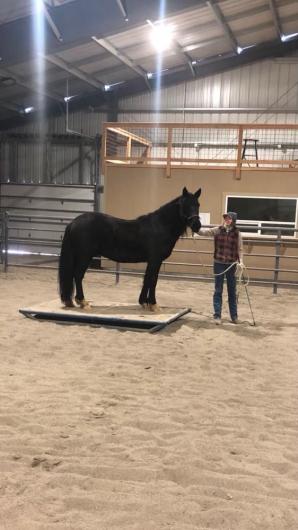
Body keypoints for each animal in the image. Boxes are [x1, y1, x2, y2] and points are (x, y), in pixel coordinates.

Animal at [58, 186, 201, 310]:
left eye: (198, 205)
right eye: (185, 205)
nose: (197, 225)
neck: (160, 226)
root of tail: (73, 222)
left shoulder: (152, 261)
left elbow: (147, 279)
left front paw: (144, 302)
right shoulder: (155, 260)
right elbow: (153, 280)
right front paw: (153, 305)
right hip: (84, 256)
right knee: (78, 275)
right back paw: (83, 302)